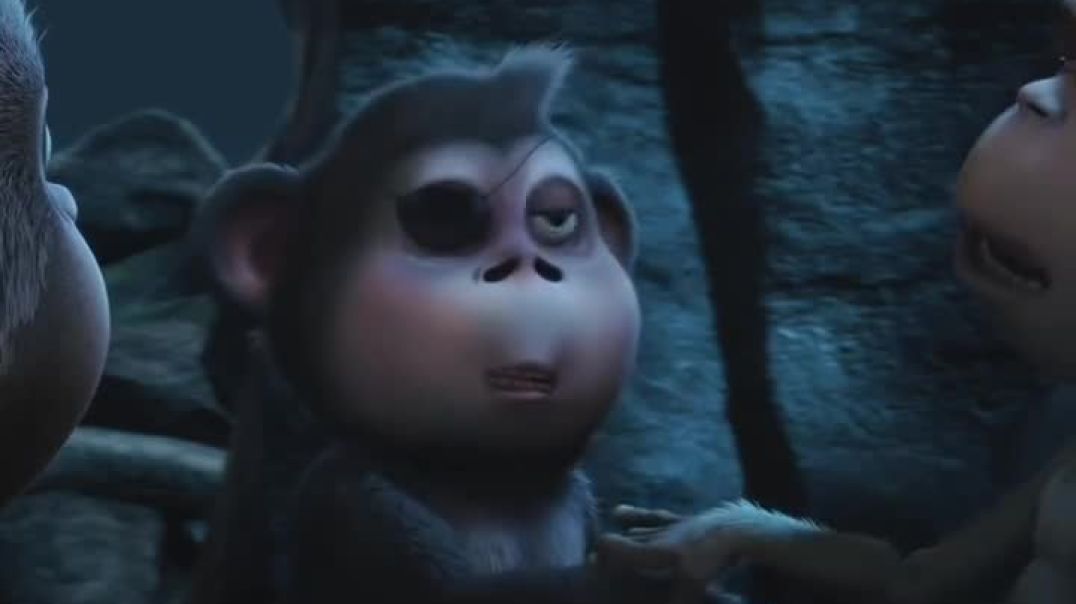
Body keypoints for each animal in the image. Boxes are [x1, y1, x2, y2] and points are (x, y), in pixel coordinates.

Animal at [191, 44, 685, 604]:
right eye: (443, 219)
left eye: (557, 220)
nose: (526, 265)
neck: (486, 483)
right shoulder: (347, 502)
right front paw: (641, 569)